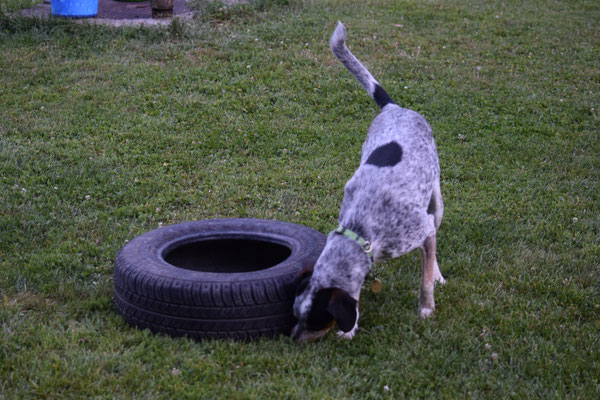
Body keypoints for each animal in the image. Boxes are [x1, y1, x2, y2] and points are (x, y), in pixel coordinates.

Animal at [290, 21, 446, 340]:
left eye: (314, 321)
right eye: (296, 315)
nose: (290, 339)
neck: (362, 228)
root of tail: (394, 108)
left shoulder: (421, 230)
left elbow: (424, 276)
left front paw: (426, 308)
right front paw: (351, 328)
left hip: (437, 203)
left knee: (434, 244)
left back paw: (437, 274)